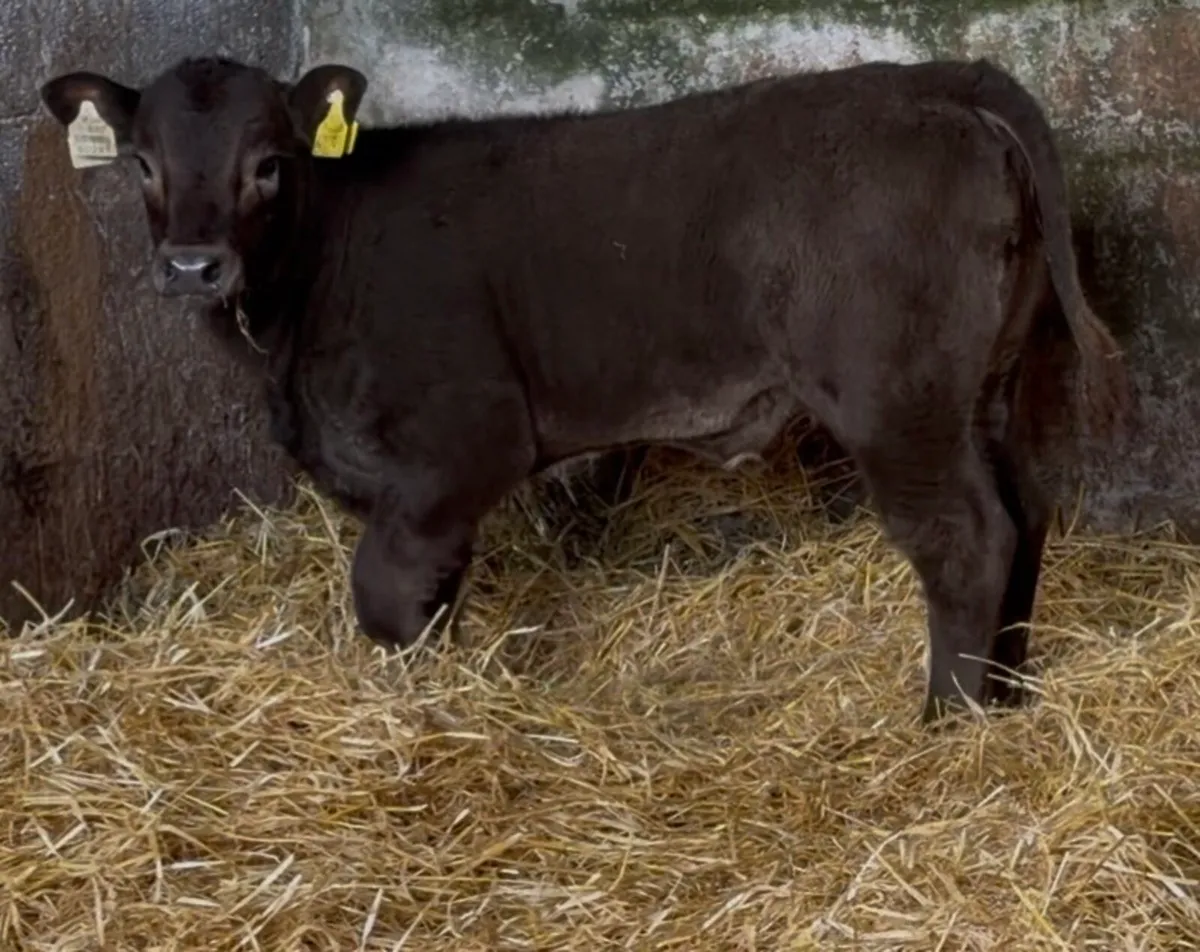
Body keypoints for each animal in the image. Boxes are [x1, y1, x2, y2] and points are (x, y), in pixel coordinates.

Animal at [39, 53, 1130, 724]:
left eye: (269, 163)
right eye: (140, 163)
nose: (192, 266)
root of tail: (938, 76)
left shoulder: (465, 441)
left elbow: (387, 594)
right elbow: (432, 595)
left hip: (898, 401)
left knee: (966, 538)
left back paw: (949, 719)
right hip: (984, 387)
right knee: (1026, 513)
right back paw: (1009, 689)